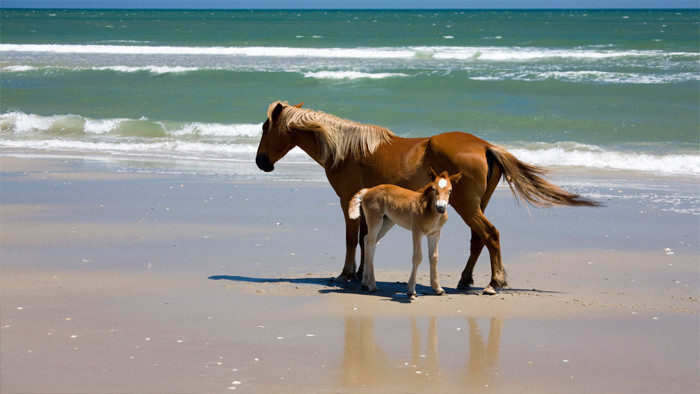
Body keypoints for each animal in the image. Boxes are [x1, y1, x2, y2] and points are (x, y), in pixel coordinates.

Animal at [348, 169, 460, 298]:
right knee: (371, 244)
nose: (441, 207)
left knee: (367, 240)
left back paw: (365, 282)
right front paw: (411, 289)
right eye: (433, 189)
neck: (429, 211)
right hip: (375, 220)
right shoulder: (417, 231)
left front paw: (438, 288)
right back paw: (372, 285)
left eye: (450, 190)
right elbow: (417, 257)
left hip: (387, 222)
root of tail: (367, 190)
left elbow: (434, 256)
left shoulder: (435, 233)